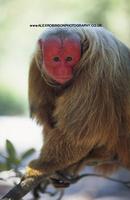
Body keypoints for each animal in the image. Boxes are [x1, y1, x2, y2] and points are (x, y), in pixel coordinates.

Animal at [25, 26, 130, 188]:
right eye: (56, 59)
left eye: (69, 59)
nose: (63, 71)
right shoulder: (36, 67)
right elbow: (50, 122)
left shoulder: (96, 74)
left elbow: (76, 136)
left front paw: (41, 167)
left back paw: (103, 153)